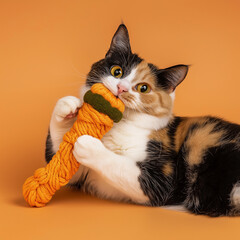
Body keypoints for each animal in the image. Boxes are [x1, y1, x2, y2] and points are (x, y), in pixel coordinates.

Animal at [45, 24, 240, 218]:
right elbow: (61, 163)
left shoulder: (162, 180)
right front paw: (67, 106)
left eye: (143, 88)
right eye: (117, 71)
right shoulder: (79, 175)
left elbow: (122, 167)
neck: (119, 124)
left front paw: (88, 144)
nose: (121, 88)